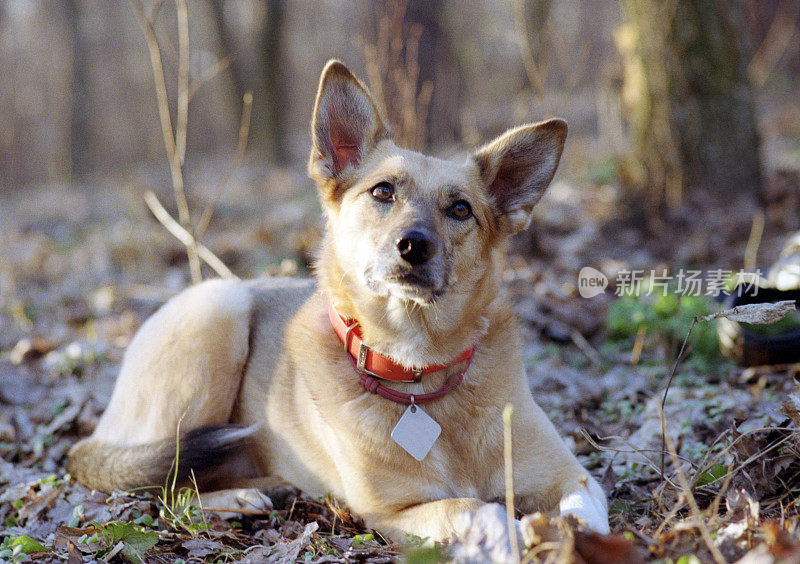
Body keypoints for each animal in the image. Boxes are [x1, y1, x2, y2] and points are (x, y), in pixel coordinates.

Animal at [67, 59, 608, 540]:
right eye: (383, 192)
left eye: (460, 209)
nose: (413, 245)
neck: (420, 375)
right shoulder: (393, 512)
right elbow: (476, 509)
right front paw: (518, 537)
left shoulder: (571, 477)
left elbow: (585, 510)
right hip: (218, 314)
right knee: (164, 487)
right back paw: (237, 497)